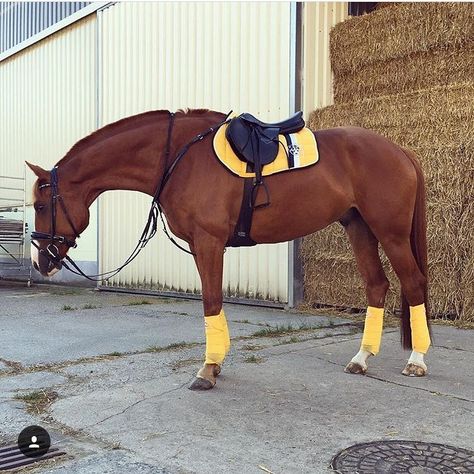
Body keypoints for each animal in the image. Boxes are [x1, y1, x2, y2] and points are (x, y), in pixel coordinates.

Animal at [27, 109, 432, 390]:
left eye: (42, 205)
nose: (40, 260)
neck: (178, 159)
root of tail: (400, 151)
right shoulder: (204, 246)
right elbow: (214, 302)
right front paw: (215, 364)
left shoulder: (209, 243)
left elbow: (210, 302)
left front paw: (208, 369)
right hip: (360, 228)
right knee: (377, 286)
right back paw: (362, 359)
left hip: (391, 233)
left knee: (413, 283)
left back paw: (416, 360)